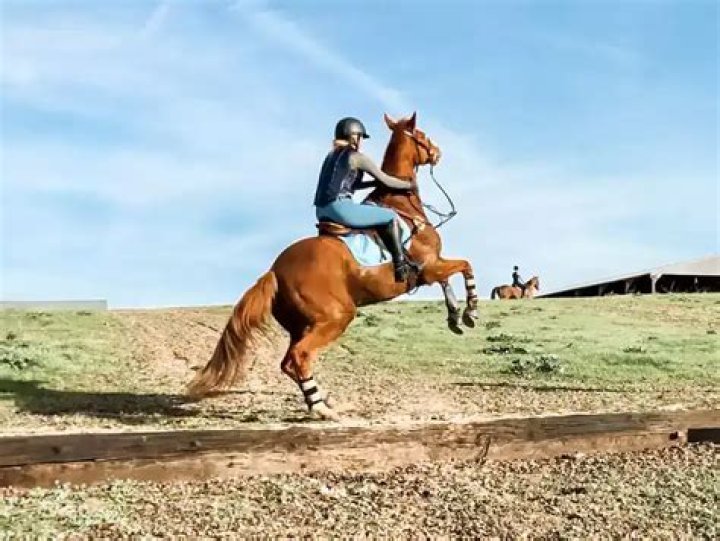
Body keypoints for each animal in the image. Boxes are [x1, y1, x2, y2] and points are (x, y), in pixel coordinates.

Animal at [187, 112, 478, 420]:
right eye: (421, 136)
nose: (438, 152)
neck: (403, 205)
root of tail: (275, 270)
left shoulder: (433, 267)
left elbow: (448, 279)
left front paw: (454, 316)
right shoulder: (429, 266)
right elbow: (465, 267)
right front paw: (470, 312)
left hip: (301, 325)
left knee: (289, 362)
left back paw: (321, 401)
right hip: (336, 316)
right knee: (300, 357)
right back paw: (322, 409)